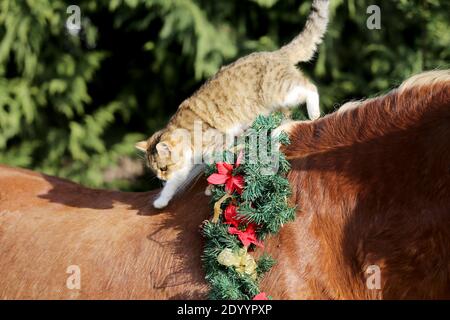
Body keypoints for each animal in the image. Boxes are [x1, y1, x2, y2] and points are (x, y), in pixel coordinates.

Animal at [135, 0, 328, 209]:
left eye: (163, 168)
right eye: (156, 171)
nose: (161, 178)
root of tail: (275, 53)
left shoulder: (217, 142)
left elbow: (214, 164)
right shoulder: (187, 164)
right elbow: (175, 183)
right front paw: (161, 200)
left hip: (281, 91)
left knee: (310, 86)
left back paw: (314, 113)